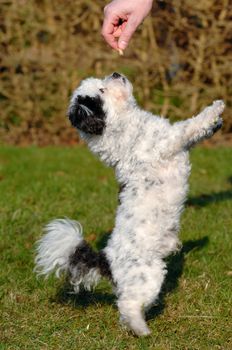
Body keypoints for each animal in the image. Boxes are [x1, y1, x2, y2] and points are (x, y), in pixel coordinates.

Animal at [35, 72, 226, 336]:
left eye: (102, 82)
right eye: (102, 90)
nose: (116, 73)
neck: (125, 129)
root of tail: (106, 259)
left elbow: (195, 134)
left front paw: (215, 124)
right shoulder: (169, 142)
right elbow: (189, 126)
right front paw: (215, 108)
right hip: (148, 276)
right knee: (128, 305)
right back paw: (142, 330)